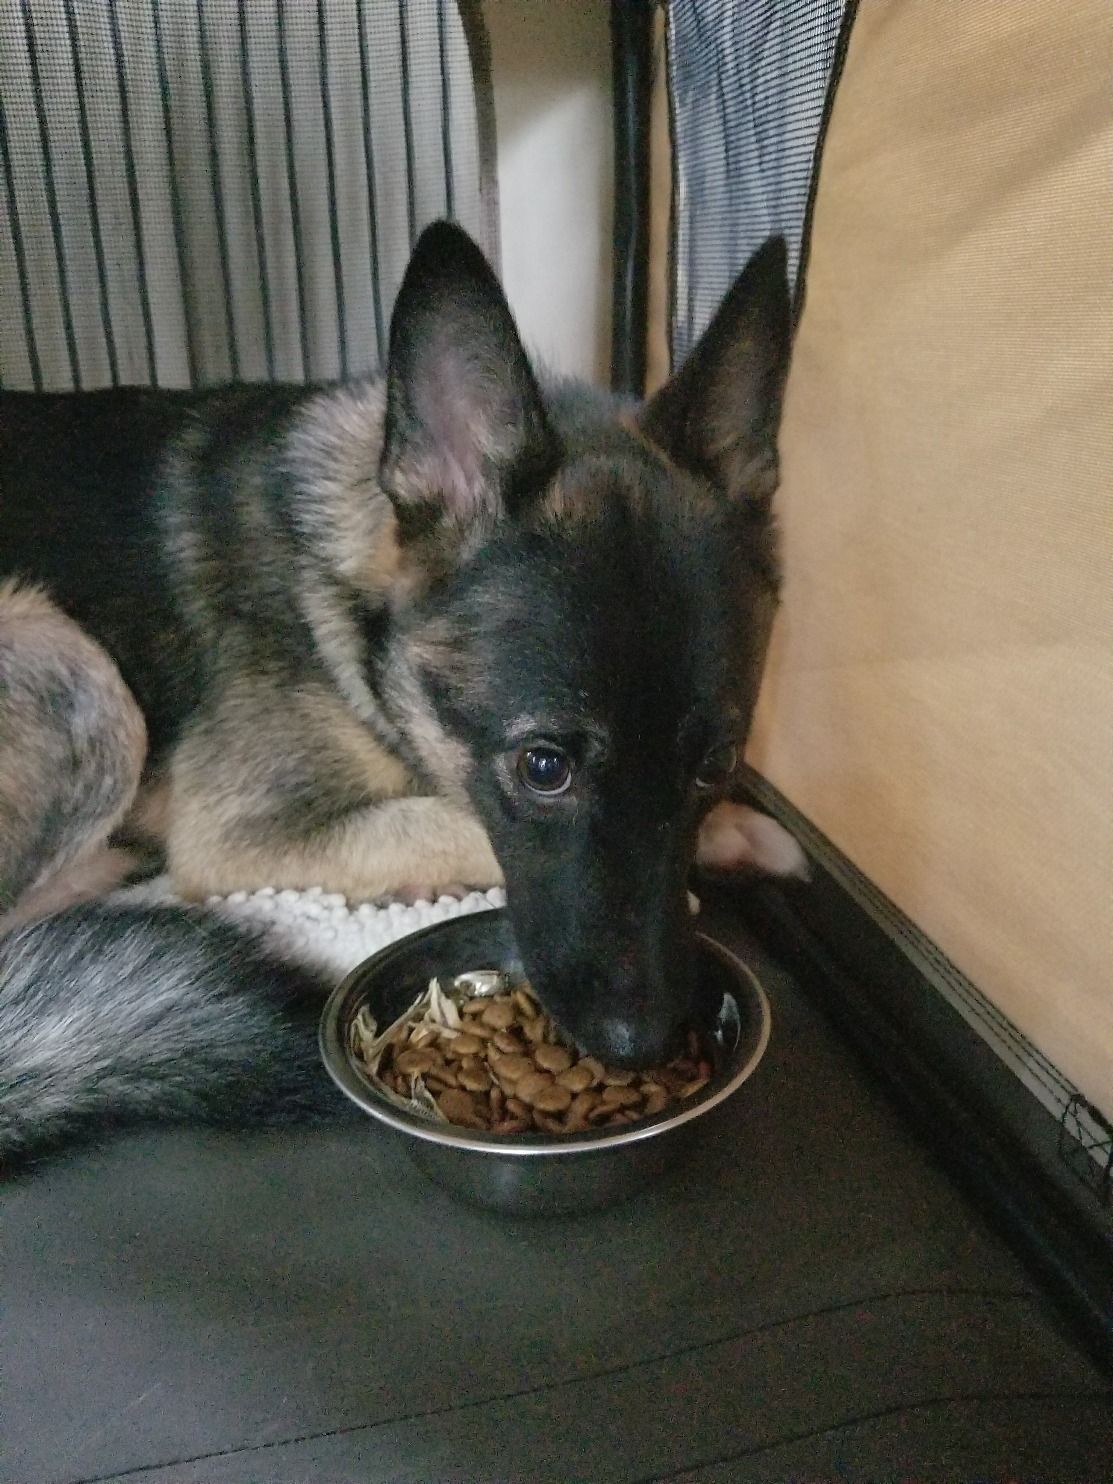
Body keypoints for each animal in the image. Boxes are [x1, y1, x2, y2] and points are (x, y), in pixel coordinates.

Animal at [0, 221, 804, 1165]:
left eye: (715, 763)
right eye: (542, 769)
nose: (639, 1045)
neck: (349, 593)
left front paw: (737, 832)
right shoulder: (249, 835)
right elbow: (446, 819)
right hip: (75, 672)